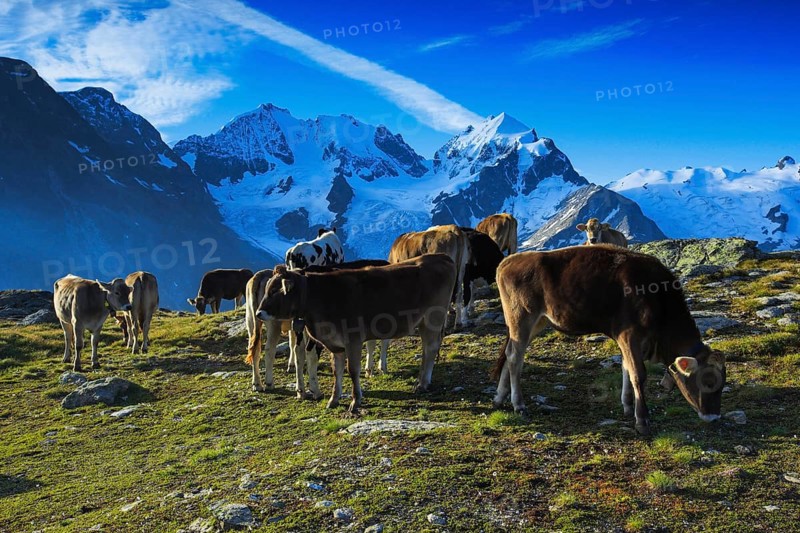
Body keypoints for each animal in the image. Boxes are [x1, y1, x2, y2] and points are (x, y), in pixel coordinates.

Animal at [256, 254, 457, 413]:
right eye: (267, 289)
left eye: (274, 291)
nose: (259, 313)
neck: (319, 296)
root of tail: (440, 257)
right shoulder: (335, 344)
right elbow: (337, 371)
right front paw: (333, 399)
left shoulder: (353, 339)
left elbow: (353, 370)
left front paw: (355, 401)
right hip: (423, 322)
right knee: (426, 349)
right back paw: (421, 381)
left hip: (433, 318)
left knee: (430, 348)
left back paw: (423, 383)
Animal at [491, 245, 726, 435]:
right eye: (708, 382)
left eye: (723, 384)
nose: (714, 418)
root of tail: (507, 262)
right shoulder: (629, 335)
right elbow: (638, 374)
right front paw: (642, 420)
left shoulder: (627, 340)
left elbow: (626, 368)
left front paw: (628, 406)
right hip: (522, 316)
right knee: (515, 356)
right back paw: (518, 404)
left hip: (537, 321)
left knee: (511, 353)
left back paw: (500, 397)